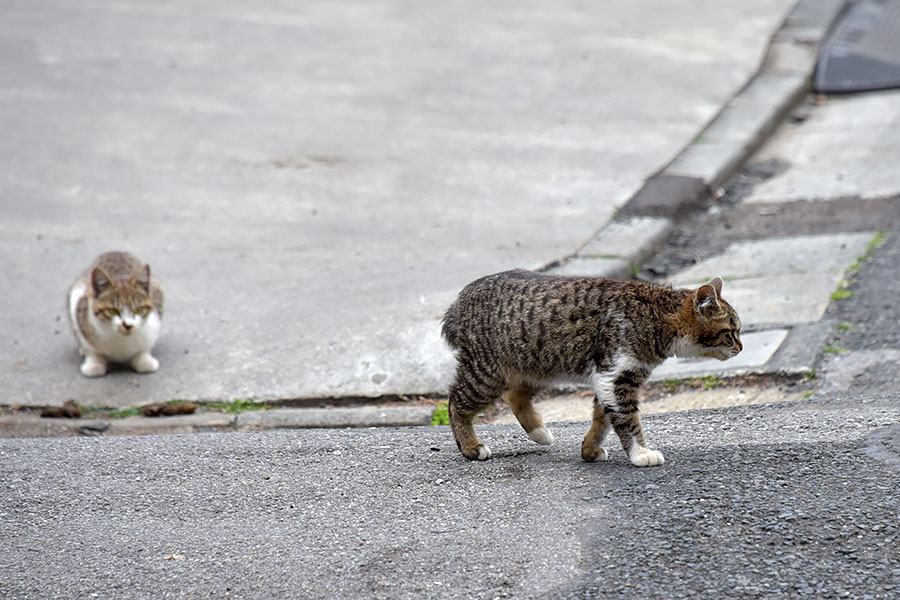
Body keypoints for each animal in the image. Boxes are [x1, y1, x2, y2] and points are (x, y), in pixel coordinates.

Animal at [442, 270, 744, 466]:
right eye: (731, 332)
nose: (741, 347)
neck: (655, 316)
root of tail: (462, 297)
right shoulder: (614, 376)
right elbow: (627, 420)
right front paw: (640, 453)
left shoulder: (615, 378)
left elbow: (602, 420)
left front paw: (589, 449)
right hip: (488, 373)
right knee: (456, 403)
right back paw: (470, 446)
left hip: (536, 367)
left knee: (516, 396)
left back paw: (539, 432)